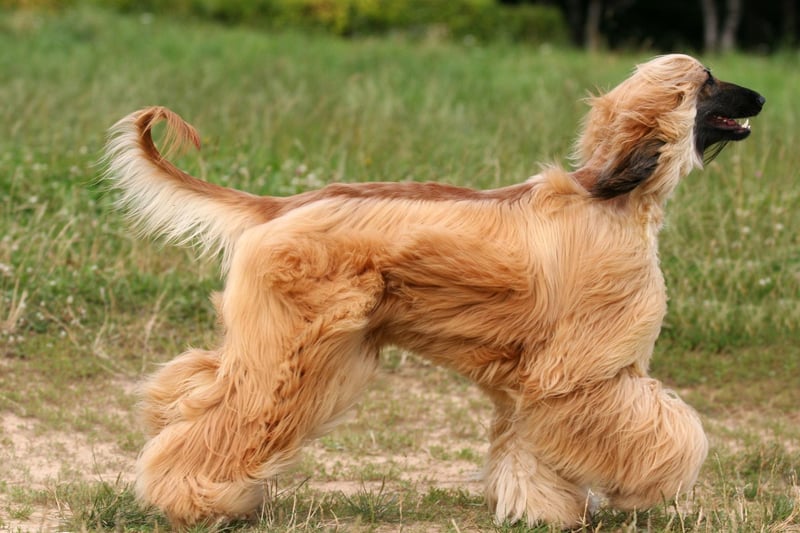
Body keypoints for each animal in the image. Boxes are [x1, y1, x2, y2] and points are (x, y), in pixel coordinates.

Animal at [103, 54, 764, 528]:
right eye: (708, 81)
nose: (761, 96)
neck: (613, 195)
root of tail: (283, 204)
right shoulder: (580, 372)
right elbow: (671, 432)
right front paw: (646, 487)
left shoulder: (535, 378)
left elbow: (526, 450)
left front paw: (540, 512)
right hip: (295, 345)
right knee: (231, 412)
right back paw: (190, 499)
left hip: (284, 335)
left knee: (195, 384)